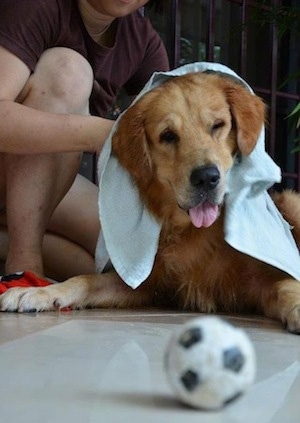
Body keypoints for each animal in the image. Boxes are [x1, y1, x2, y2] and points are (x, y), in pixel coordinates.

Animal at [0, 73, 300, 334]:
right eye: (168, 135)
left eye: (217, 125)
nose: (207, 177)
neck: (193, 232)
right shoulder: (149, 283)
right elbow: (84, 279)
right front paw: (39, 291)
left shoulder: (265, 277)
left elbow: (286, 285)